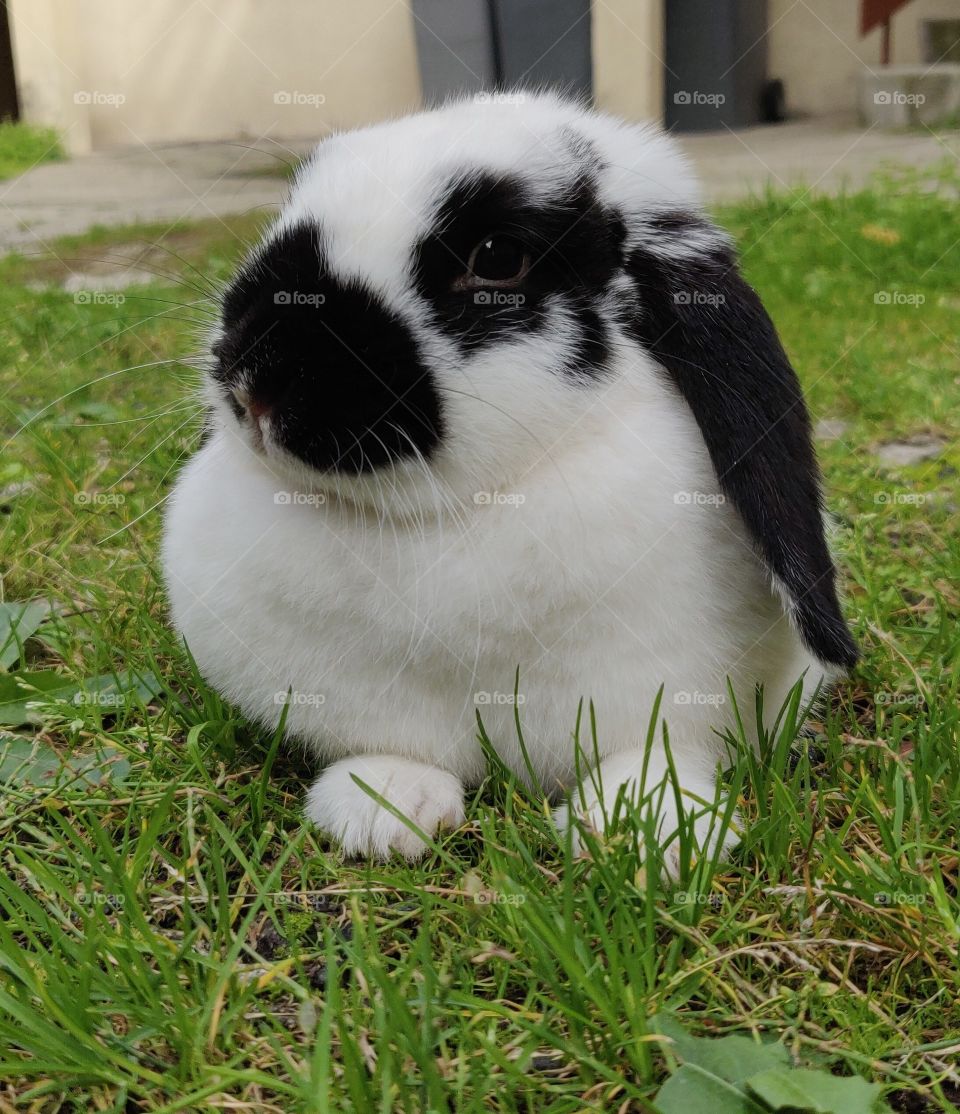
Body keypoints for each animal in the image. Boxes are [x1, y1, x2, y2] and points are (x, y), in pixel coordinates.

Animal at [162, 91, 857, 874]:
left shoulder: (670, 696)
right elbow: (388, 747)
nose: (256, 377)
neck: (450, 512)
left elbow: (657, 754)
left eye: (497, 257)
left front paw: (646, 832)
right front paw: (382, 810)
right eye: (288, 211)